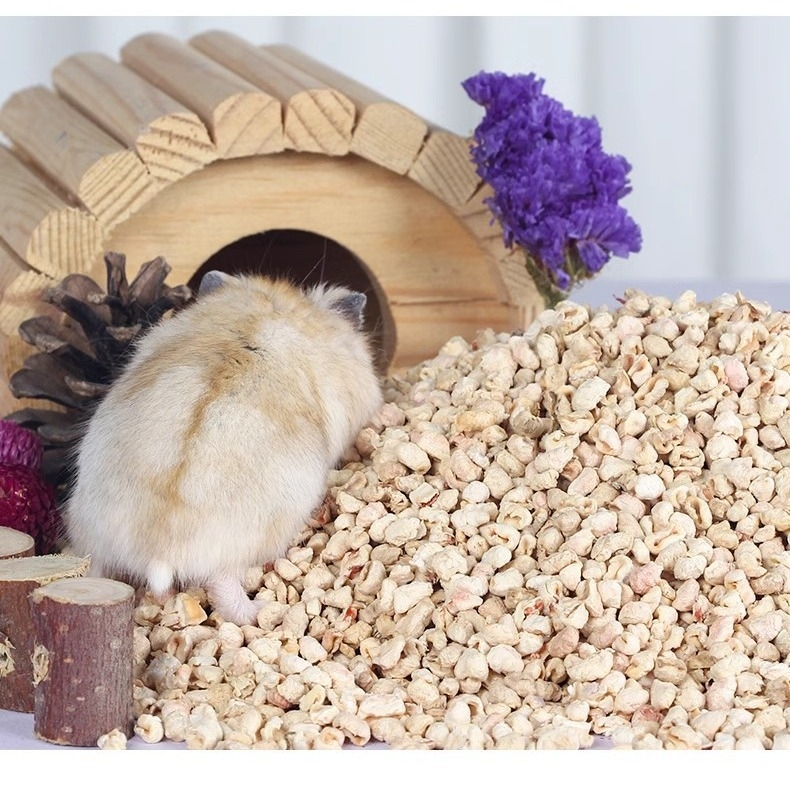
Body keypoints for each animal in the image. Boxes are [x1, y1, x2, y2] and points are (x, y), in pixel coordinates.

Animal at [65, 271, 383, 625]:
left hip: (89, 533)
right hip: (249, 546)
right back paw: (262, 609)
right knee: (224, 587)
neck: (274, 309)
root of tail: (156, 552)